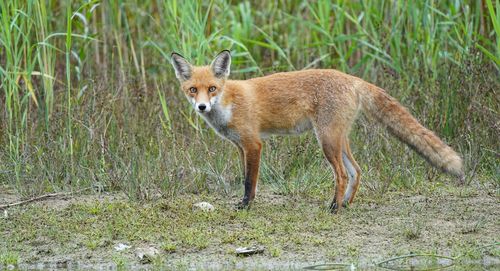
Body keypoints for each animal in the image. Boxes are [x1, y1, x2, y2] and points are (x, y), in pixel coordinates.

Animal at [171, 50, 464, 214]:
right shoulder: (241, 147)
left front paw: (246, 206)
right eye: (192, 90)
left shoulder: (254, 144)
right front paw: (245, 204)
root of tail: (352, 78)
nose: (201, 106)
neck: (228, 103)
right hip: (338, 139)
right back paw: (346, 204)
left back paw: (334, 208)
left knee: (342, 175)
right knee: (357, 171)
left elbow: (249, 182)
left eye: (212, 88)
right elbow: (245, 178)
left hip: (327, 141)